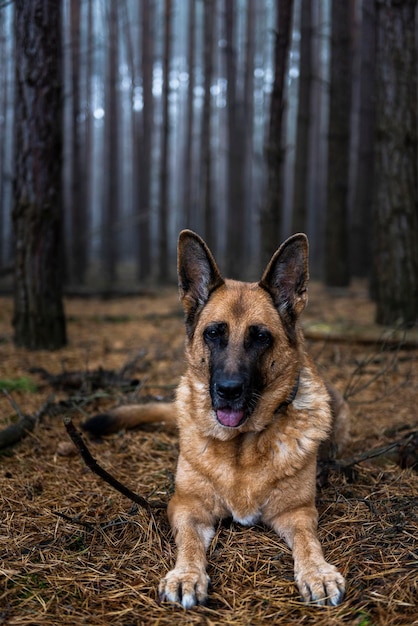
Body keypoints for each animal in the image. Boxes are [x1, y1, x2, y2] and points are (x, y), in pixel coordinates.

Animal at [83, 228, 348, 604]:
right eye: (213, 333)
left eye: (261, 337)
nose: (228, 390)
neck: (241, 446)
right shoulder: (186, 506)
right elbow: (190, 544)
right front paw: (186, 575)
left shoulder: (297, 512)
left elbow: (309, 542)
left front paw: (317, 572)